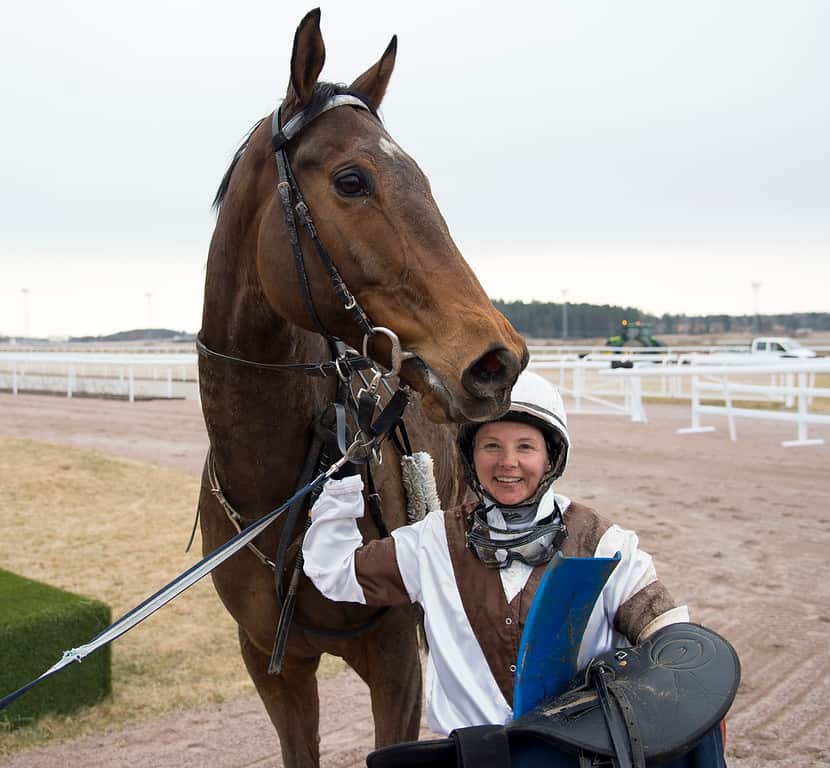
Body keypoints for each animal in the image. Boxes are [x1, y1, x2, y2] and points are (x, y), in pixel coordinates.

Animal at [197, 7, 528, 768]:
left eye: (423, 179)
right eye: (352, 180)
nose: (497, 359)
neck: (280, 496)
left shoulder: (394, 658)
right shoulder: (271, 664)